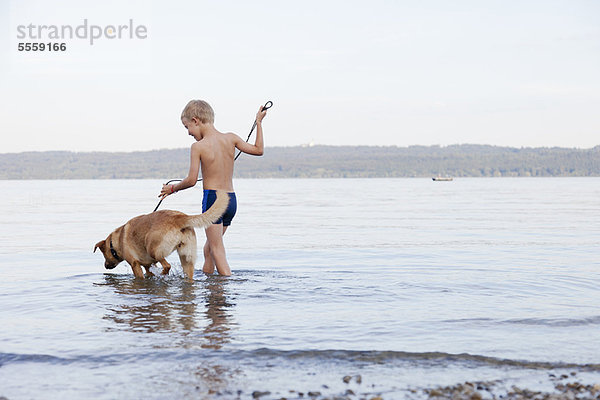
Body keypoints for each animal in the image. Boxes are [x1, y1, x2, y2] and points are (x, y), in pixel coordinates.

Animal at [95, 191, 229, 278]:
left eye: (103, 254)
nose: (105, 266)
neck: (115, 242)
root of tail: (179, 218)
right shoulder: (147, 266)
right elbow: (149, 273)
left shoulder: (135, 264)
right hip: (187, 259)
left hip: (154, 250)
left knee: (167, 265)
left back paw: (163, 274)